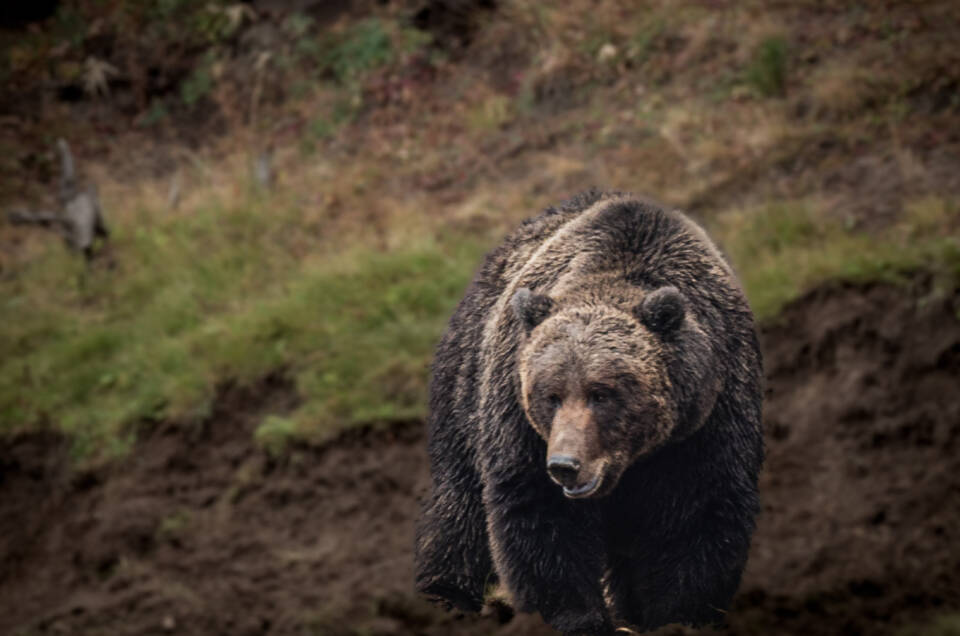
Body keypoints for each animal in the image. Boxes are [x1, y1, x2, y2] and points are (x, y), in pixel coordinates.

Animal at [412, 191, 764, 632]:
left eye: (602, 393)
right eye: (551, 395)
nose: (566, 465)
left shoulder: (707, 419)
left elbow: (697, 517)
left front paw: (679, 615)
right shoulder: (519, 422)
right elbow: (543, 516)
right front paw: (575, 616)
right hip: (464, 389)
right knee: (460, 508)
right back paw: (447, 594)